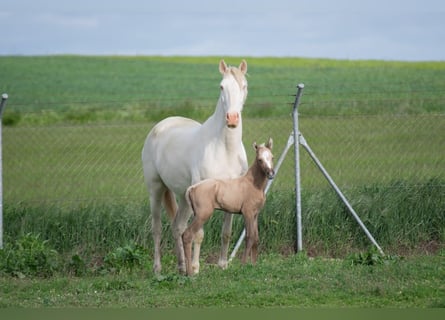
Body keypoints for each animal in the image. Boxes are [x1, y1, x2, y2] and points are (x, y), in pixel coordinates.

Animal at [141, 60, 248, 276]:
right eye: (221, 87)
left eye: (244, 86)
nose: (232, 119)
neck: (225, 149)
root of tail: (160, 126)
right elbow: (198, 233)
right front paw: (197, 268)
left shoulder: (232, 194)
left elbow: (226, 232)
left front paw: (222, 264)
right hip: (155, 189)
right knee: (157, 229)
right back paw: (158, 268)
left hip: (184, 197)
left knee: (177, 227)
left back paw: (182, 266)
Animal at [181, 139, 272, 276]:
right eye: (260, 159)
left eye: (272, 157)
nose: (271, 174)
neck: (253, 184)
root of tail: (192, 188)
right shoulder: (248, 213)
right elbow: (249, 237)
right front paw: (243, 265)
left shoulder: (255, 214)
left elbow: (256, 238)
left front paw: (254, 265)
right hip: (203, 215)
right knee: (187, 235)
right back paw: (191, 273)